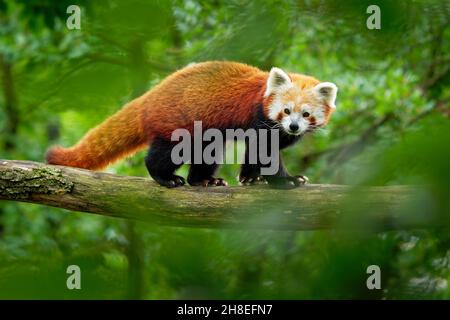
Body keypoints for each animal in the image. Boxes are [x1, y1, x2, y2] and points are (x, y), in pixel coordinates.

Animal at [47, 60, 338, 188]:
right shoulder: (259, 119)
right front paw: (286, 181)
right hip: (178, 124)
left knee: (207, 152)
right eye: (286, 110)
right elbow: (264, 151)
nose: (293, 127)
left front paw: (250, 177)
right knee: (165, 153)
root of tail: (151, 96)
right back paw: (166, 177)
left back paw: (204, 180)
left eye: (306, 114)